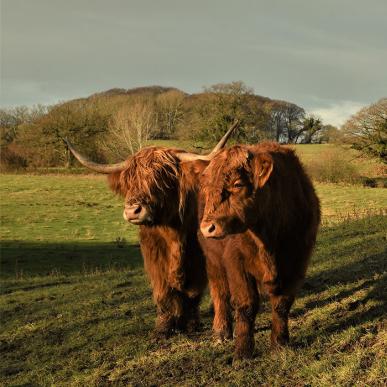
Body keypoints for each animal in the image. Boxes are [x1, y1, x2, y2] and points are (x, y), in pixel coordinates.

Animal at [65, 123, 238, 338]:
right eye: (129, 181)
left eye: (160, 179)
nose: (132, 210)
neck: (174, 232)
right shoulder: (154, 254)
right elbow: (163, 290)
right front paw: (164, 327)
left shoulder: (198, 257)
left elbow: (194, 291)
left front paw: (190, 324)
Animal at [199, 142, 320, 360]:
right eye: (207, 187)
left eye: (238, 184)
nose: (207, 228)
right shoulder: (236, 263)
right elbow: (246, 305)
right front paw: (242, 352)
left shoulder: (298, 262)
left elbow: (282, 304)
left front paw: (280, 345)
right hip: (213, 260)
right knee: (220, 293)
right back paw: (221, 331)